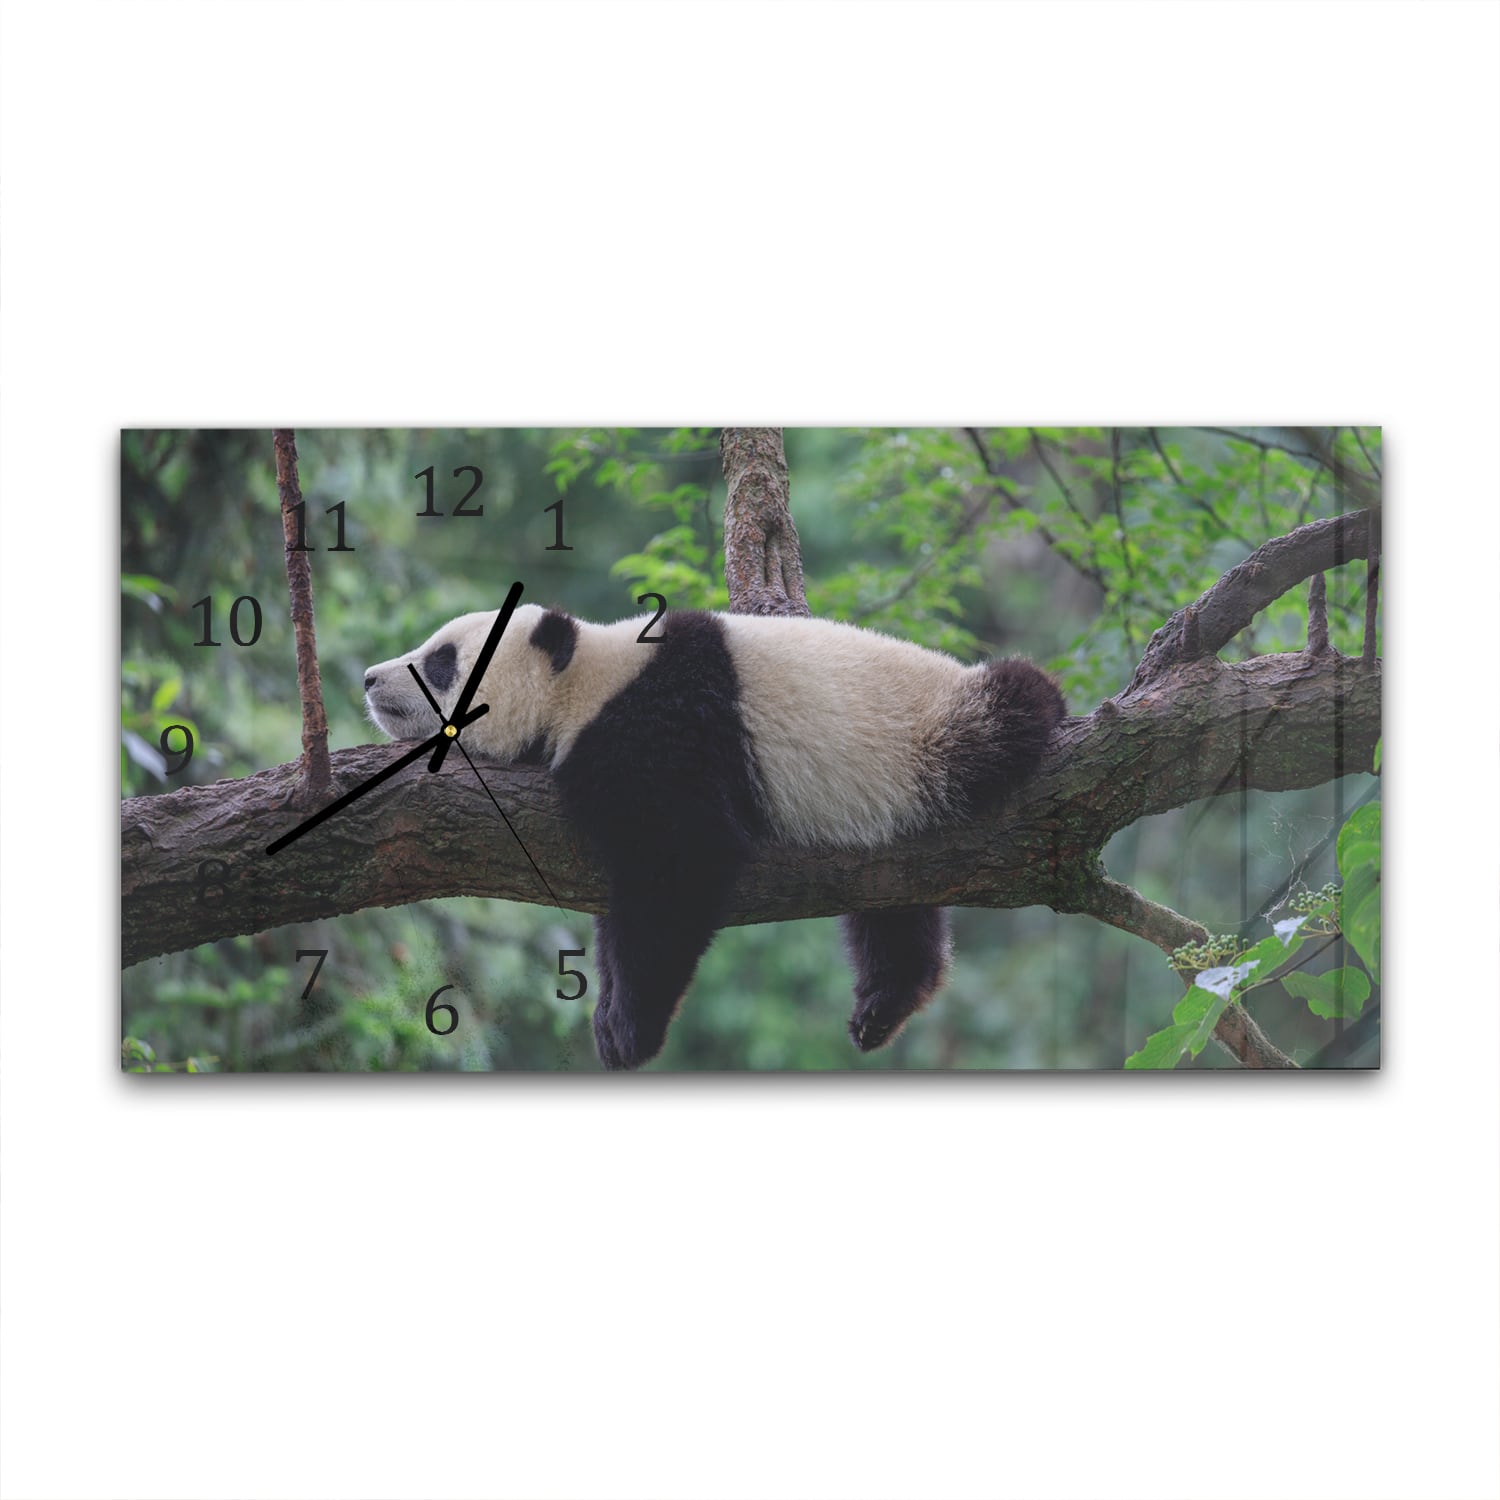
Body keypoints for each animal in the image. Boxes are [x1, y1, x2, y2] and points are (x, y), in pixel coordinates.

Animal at [363, 603, 1065, 1070]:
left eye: (442, 660)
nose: (370, 678)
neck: (586, 680)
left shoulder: (662, 727)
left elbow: (682, 864)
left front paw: (627, 1030)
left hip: (933, 735)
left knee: (1011, 707)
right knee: (892, 906)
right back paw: (883, 1005)